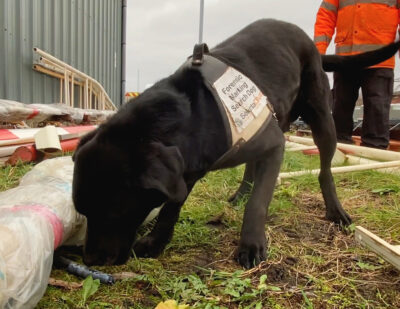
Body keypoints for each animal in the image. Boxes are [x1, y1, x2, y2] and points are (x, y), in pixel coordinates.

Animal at [72, 18, 400, 268]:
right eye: (84, 212)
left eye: (114, 213)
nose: (89, 260)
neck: (197, 112)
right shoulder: (184, 171)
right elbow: (170, 207)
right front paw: (156, 241)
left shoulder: (274, 146)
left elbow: (258, 203)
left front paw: (251, 245)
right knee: (251, 167)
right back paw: (241, 192)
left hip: (321, 117)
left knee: (325, 169)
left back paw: (334, 209)